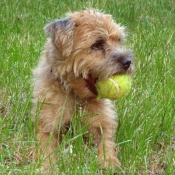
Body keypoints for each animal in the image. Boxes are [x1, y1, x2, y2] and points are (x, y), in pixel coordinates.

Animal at [31, 9, 135, 170]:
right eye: (97, 44)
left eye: (119, 40)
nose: (127, 61)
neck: (76, 97)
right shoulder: (47, 126)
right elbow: (45, 147)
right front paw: (48, 165)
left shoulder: (102, 125)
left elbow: (106, 143)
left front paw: (109, 162)